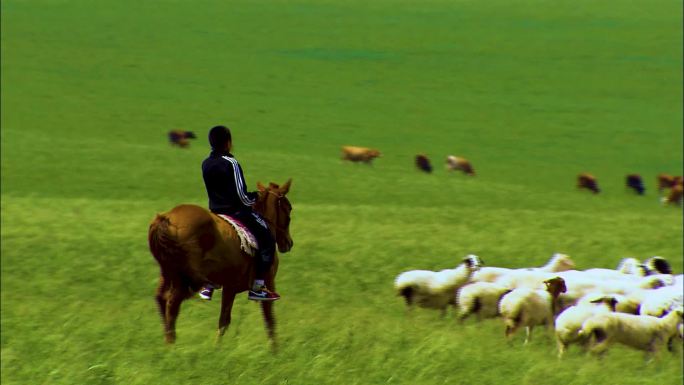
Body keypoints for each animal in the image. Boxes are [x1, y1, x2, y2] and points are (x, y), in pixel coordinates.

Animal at [148, 178, 292, 344]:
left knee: (161, 299)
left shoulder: (229, 287)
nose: (288, 243)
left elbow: (223, 321)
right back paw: (172, 345)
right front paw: (275, 349)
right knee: (171, 304)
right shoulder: (264, 282)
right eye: (289, 209)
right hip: (185, 279)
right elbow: (269, 321)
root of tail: (165, 219)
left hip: (168, 273)